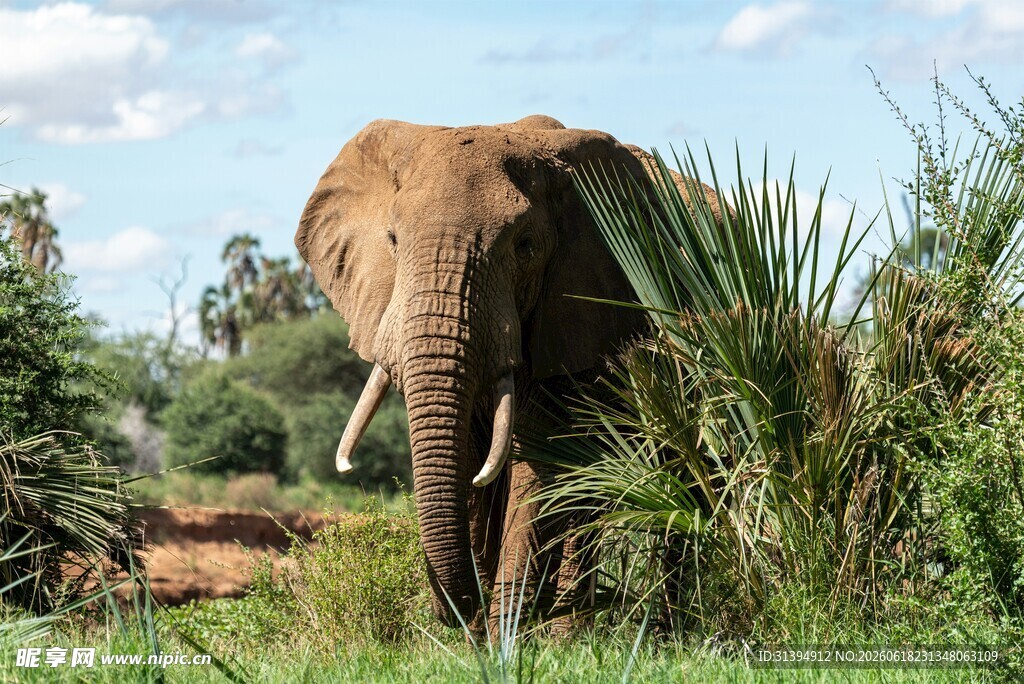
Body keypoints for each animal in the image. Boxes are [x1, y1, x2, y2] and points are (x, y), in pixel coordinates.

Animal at [295, 114, 727, 630]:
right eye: (393, 241)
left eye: (525, 246)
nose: (461, 614)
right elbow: (472, 460)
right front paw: (481, 636)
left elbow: (536, 465)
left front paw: (507, 633)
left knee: (683, 482)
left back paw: (645, 631)